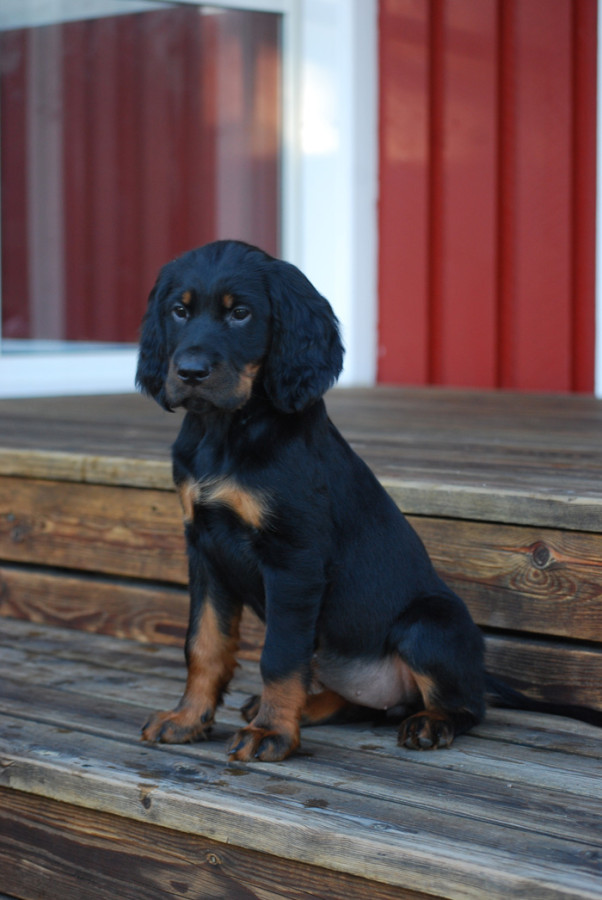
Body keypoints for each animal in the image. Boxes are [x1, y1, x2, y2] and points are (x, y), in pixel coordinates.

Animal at [136, 239, 482, 760]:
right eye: (180, 310)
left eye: (240, 313)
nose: (190, 372)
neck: (227, 430)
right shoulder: (204, 548)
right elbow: (204, 643)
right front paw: (187, 719)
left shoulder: (294, 559)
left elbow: (278, 656)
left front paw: (272, 733)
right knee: (358, 702)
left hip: (430, 623)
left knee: (467, 706)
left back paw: (431, 723)